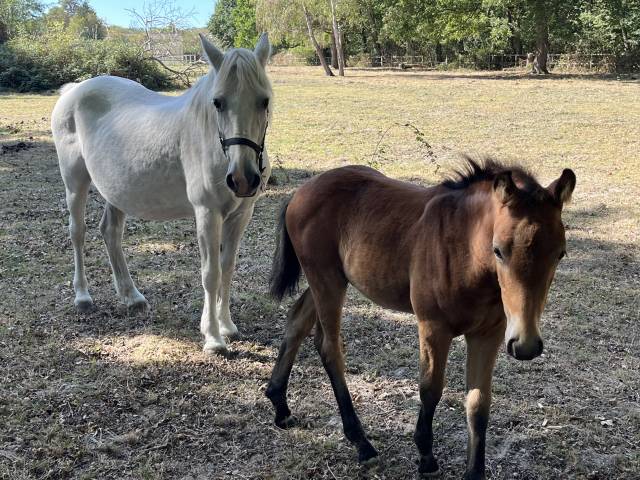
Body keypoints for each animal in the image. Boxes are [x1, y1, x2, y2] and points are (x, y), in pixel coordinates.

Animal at [51, 33, 273, 355]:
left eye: (264, 100)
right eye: (217, 102)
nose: (242, 179)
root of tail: (74, 90)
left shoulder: (241, 215)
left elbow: (227, 268)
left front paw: (227, 326)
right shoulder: (207, 214)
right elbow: (211, 274)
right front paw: (213, 337)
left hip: (117, 191)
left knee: (110, 232)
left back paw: (131, 296)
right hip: (75, 181)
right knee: (77, 232)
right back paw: (82, 296)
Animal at [266, 159, 576, 479]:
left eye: (560, 254)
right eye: (498, 251)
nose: (526, 345)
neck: (465, 249)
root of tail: (301, 191)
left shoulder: (489, 333)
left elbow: (478, 402)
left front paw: (474, 471)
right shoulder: (433, 327)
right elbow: (431, 389)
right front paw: (426, 457)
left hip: (330, 280)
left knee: (297, 321)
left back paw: (280, 406)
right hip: (326, 280)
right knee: (329, 347)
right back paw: (361, 443)